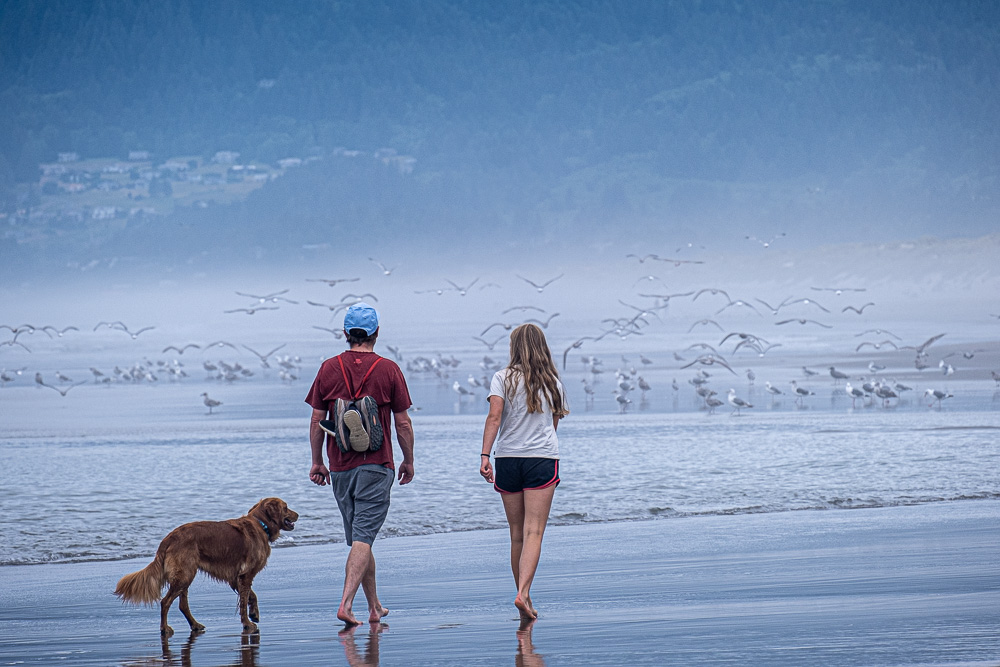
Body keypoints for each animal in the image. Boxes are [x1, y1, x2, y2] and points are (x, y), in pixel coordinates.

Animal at [114, 496, 296, 636]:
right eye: (286, 507)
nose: (298, 515)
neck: (260, 524)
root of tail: (168, 538)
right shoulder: (245, 575)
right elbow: (244, 601)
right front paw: (247, 623)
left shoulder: (236, 577)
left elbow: (252, 595)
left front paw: (254, 614)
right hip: (185, 574)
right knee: (165, 602)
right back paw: (165, 628)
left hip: (185, 575)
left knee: (182, 605)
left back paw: (195, 625)